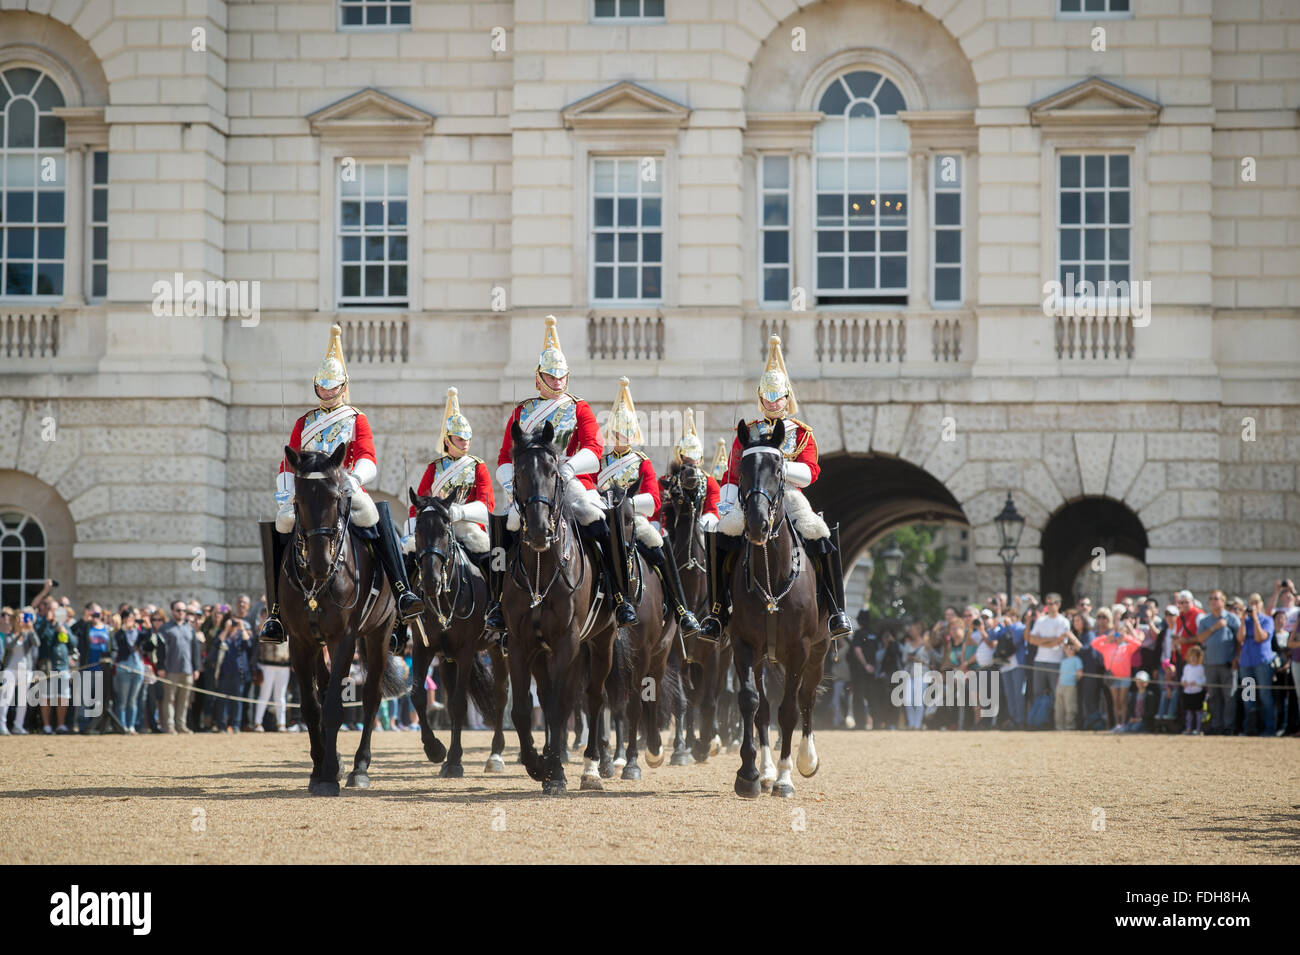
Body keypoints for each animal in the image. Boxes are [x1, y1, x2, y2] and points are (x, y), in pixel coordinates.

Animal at [279, 444, 405, 795]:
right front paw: (320, 768)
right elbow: (312, 707)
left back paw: (360, 767)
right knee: (324, 691)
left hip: (378, 634)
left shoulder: (344, 638)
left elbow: (336, 705)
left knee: (372, 695)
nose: (320, 563)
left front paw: (328, 775)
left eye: (337, 496)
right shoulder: (301, 641)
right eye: (298, 499)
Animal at [408, 493, 509, 779]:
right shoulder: (424, 647)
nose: (430, 582)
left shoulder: (465, 651)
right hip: (449, 659)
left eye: (445, 530)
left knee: (502, 695)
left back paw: (497, 754)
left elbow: (457, 704)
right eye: (418, 531)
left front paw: (453, 760)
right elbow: (418, 695)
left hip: (500, 649)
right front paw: (435, 750)